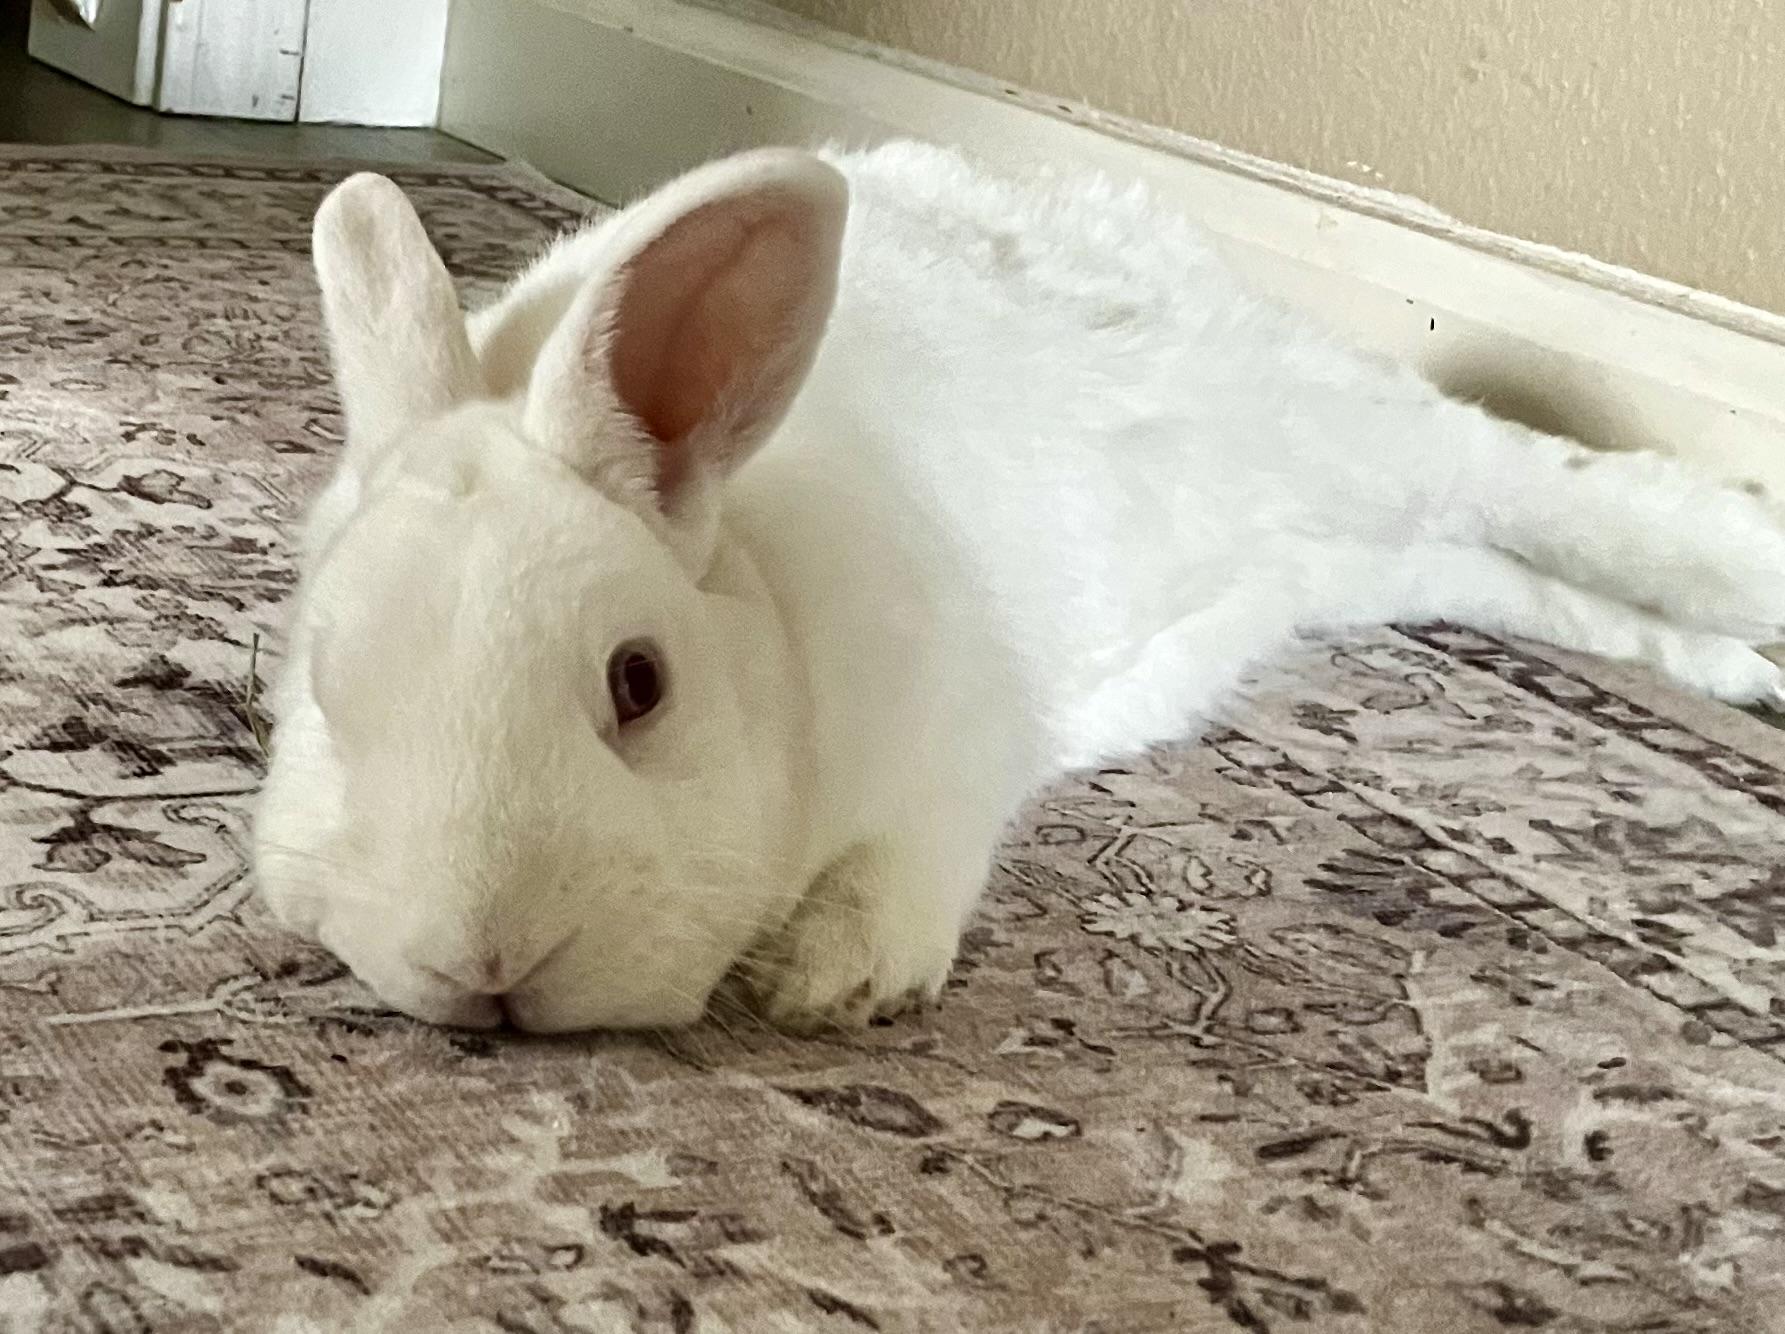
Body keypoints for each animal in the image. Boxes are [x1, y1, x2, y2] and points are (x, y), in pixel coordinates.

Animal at [253, 139, 1785, 1033]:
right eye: (327, 683)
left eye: (641, 681)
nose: (486, 954)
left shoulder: (963, 730)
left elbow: (918, 849)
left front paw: (841, 975)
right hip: (1329, 551)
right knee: (1483, 563)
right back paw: (1728, 670)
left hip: (1341, 424)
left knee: (1531, 478)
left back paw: (1749, 590)